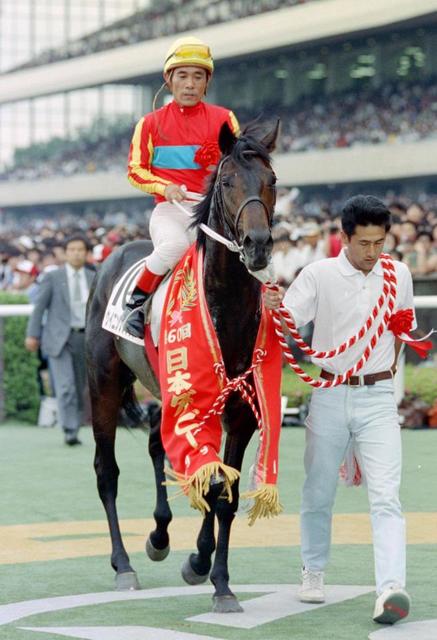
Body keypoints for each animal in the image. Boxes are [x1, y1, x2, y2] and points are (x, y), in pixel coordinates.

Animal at [86, 118, 279, 613]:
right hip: (103, 382)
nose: (257, 246)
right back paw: (123, 565)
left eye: (271, 181)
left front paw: (212, 573)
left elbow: (224, 491)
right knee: (106, 471)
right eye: (227, 182)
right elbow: (209, 481)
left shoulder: (240, 413)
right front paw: (207, 568)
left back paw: (159, 536)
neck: (225, 308)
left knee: (157, 442)